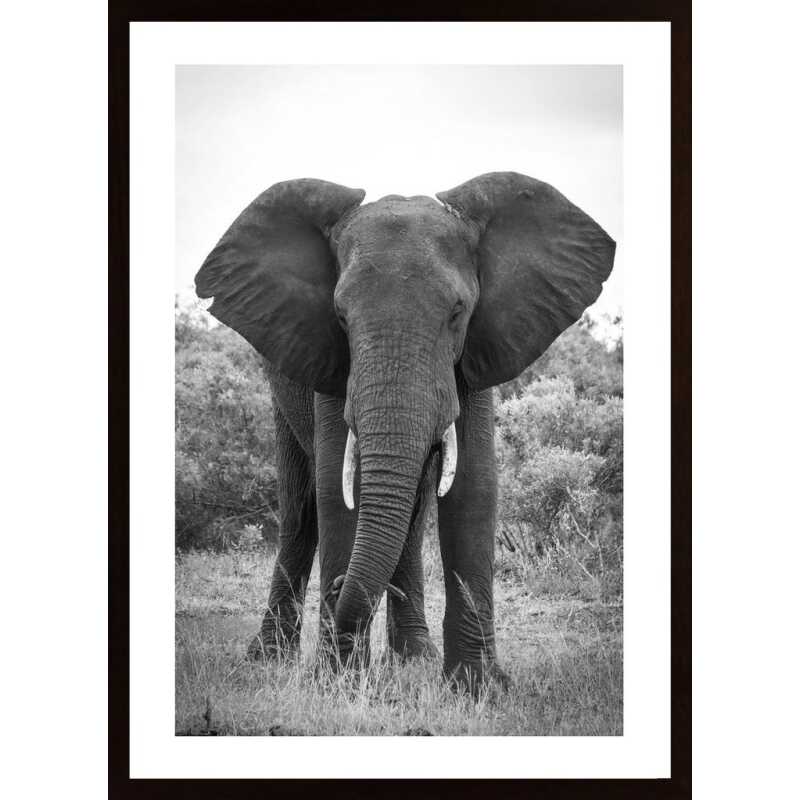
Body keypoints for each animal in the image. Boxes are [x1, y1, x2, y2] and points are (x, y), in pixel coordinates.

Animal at [194, 171, 615, 690]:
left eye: (457, 311)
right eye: (340, 316)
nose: (339, 587)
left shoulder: (477, 351)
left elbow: (474, 487)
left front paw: (477, 687)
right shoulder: (332, 361)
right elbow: (337, 486)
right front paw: (339, 683)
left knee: (411, 517)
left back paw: (412, 658)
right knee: (299, 510)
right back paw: (268, 658)